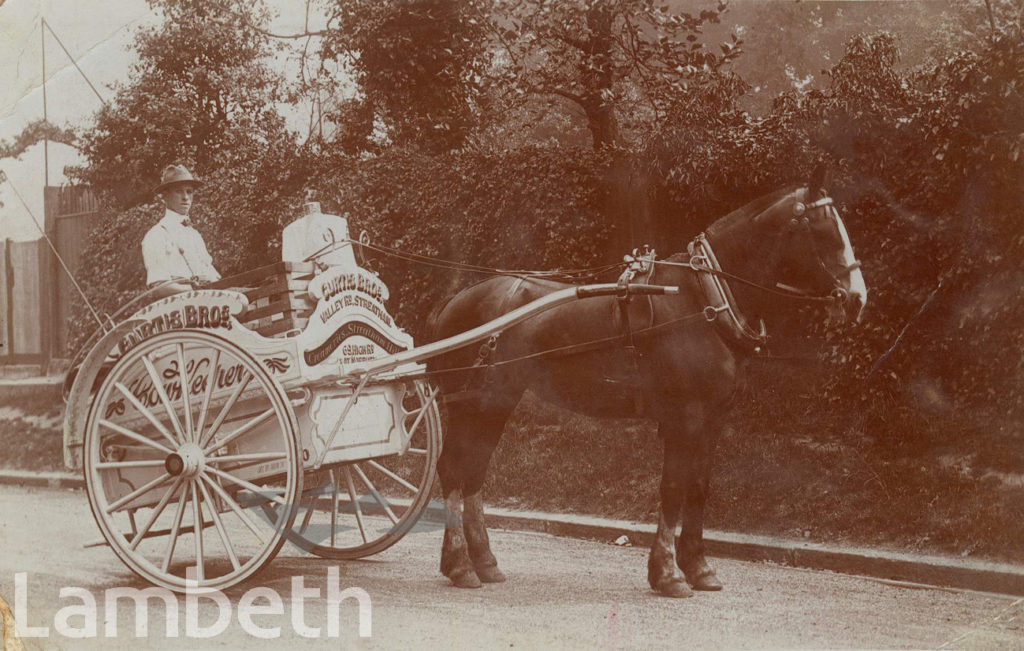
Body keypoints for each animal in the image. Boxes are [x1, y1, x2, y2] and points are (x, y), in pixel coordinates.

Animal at [421, 168, 864, 601]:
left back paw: (484, 562)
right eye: (824, 229)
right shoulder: (684, 416)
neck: (701, 300)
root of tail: (456, 300)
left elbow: (699, 488)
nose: (858, 298)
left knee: (473, 471)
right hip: (479, 402)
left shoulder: (712, 419)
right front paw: (668, 573)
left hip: (496, 401)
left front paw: (699, 567)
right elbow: (673, 488)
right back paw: (460, 564)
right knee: (455, 469)